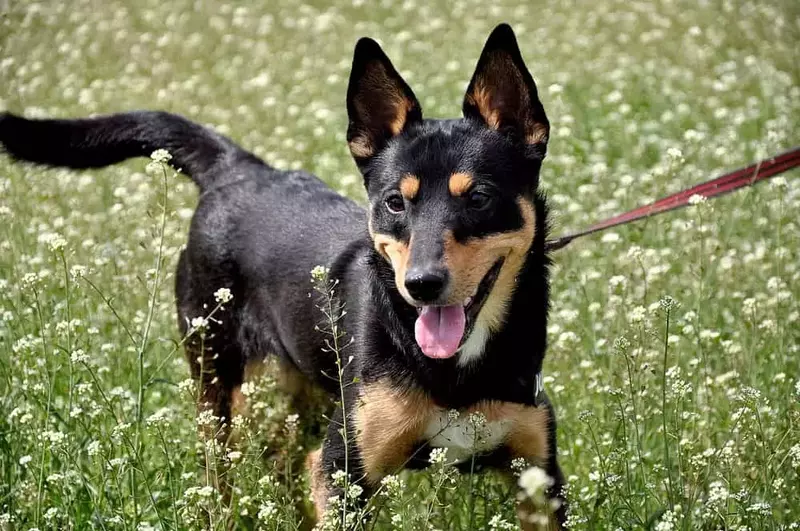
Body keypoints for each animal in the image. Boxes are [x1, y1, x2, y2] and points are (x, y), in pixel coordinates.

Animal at [1, 23, 568, 528]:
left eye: (479, 197)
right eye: (394, 202)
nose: (422, 285)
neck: (457, 371)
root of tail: (239, 169)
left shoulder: (539, 479)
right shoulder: (345, 469)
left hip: (302, 395)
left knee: (282, 462)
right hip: (217, 383)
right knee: (221, 477)